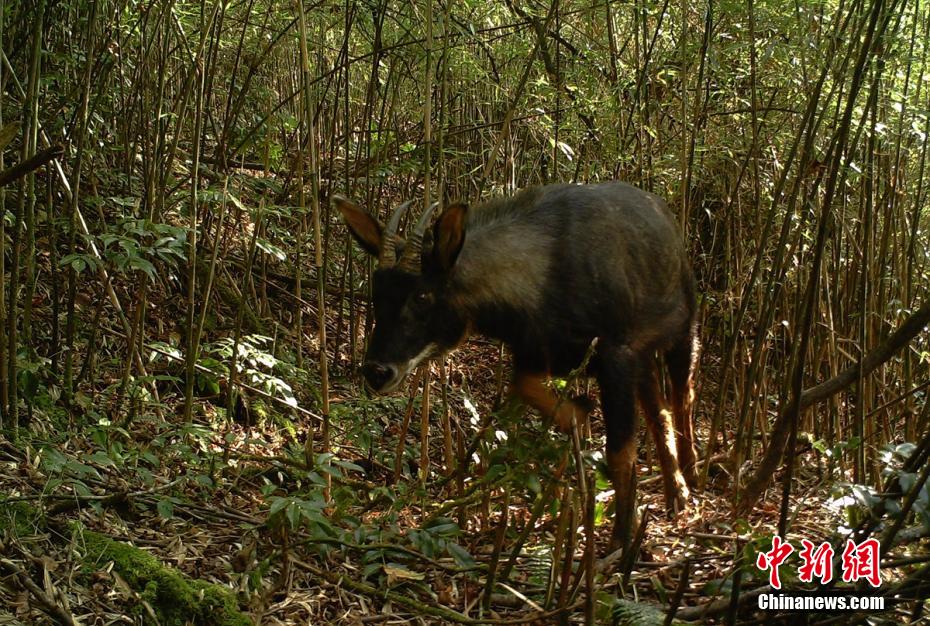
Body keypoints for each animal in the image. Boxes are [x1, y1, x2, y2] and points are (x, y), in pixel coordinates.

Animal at [334, 182, 696, 552]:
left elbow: (621, 452)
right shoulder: (534, 352)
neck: (540, 277)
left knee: (683, 397)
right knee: (658, 413)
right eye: (377, 292)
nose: (377, 371)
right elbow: (524, 385)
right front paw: (579, 412)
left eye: (422, 295)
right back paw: (676, 493)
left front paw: (622, 541)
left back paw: (692, 476)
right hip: (644, 357)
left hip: (682, 331)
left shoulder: (616, 355)